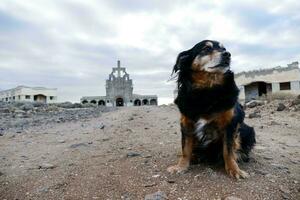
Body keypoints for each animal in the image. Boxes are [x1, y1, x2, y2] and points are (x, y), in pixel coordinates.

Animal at [168, 39, 256, 179]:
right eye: (206, 49)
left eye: (224, 49)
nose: (227, 54)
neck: (208, 90)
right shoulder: (186, 122)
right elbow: (185, 149)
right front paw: (181, 166)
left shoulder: (231, 123)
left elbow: (228, 150)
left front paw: (234, 169)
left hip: (248, 131)